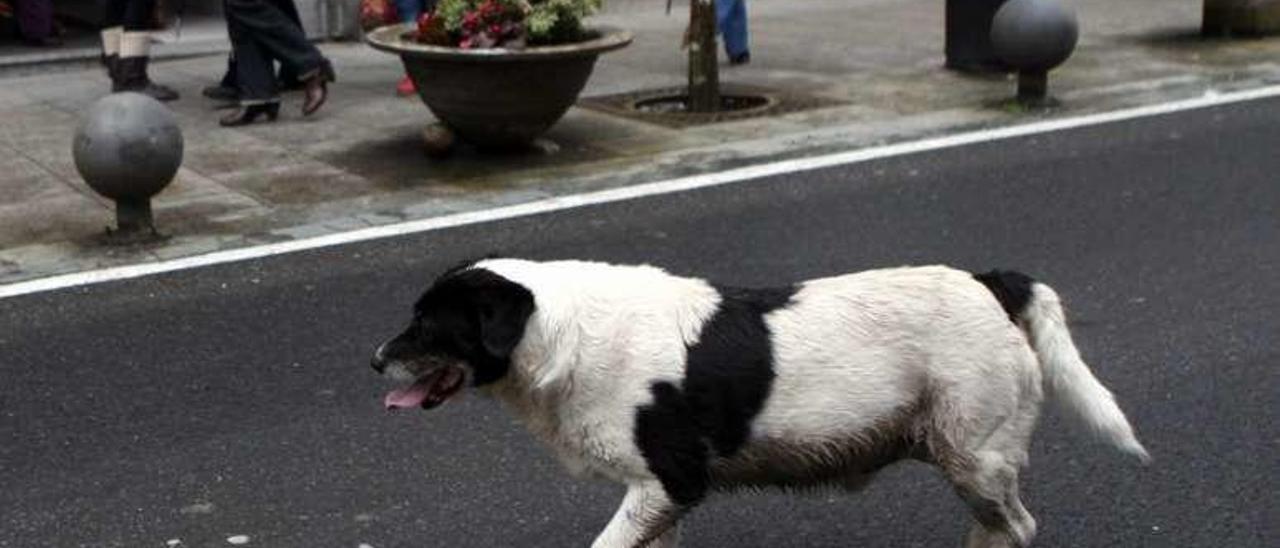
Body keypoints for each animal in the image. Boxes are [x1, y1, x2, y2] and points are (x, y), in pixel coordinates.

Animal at [371, 257, 1152, 548]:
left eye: (428, 323)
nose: (375, 359)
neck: (556, 330)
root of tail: (990, 282)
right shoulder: (656, 501)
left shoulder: (667, 484)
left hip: (975, 457)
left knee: (1016, 526)